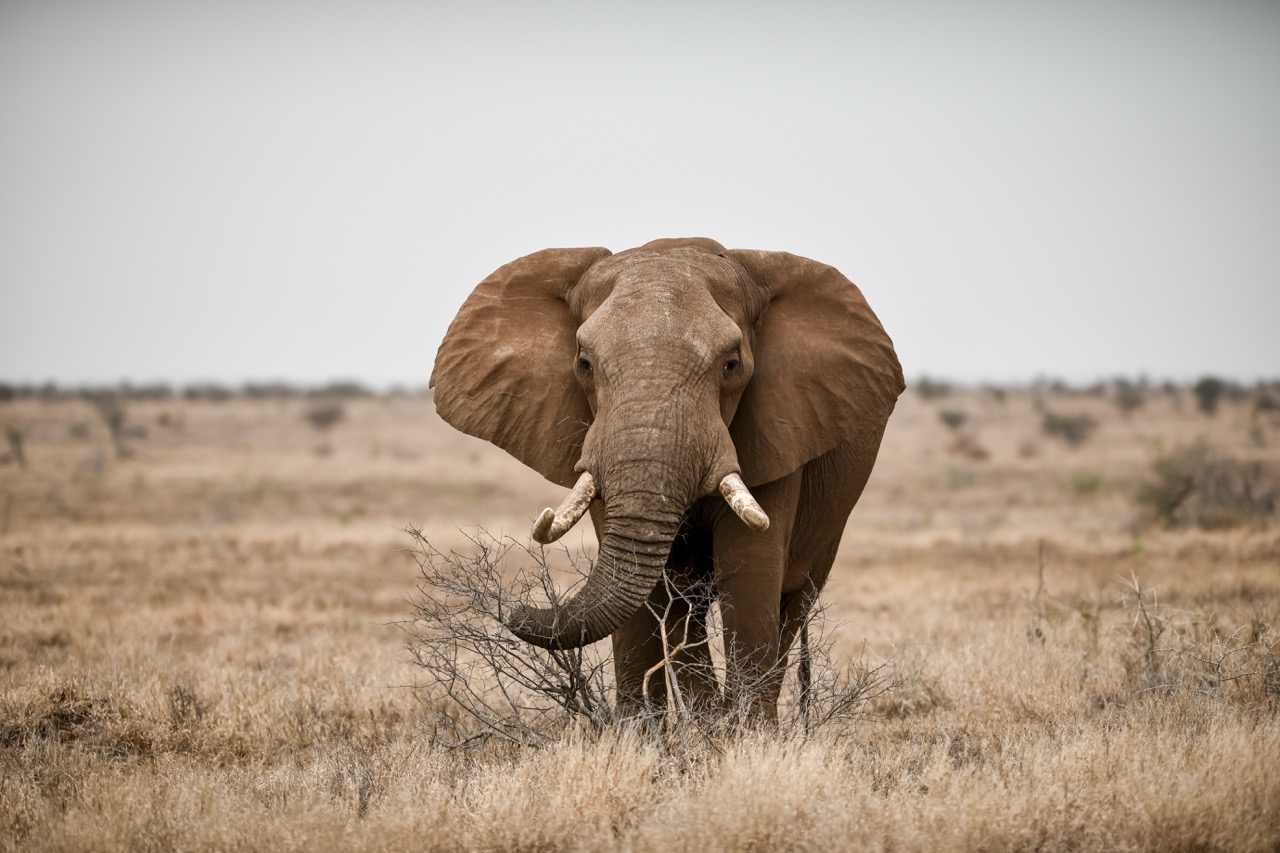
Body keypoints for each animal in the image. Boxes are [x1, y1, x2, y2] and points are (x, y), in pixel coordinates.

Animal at [430, 237, 903, 721]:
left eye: (731, 365)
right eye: (584, 363)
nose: (512, 609)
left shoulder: (777, 431)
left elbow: (750, 569)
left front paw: (744, 736)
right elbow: (655, 590)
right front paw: (648, 735)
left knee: (793, 602)